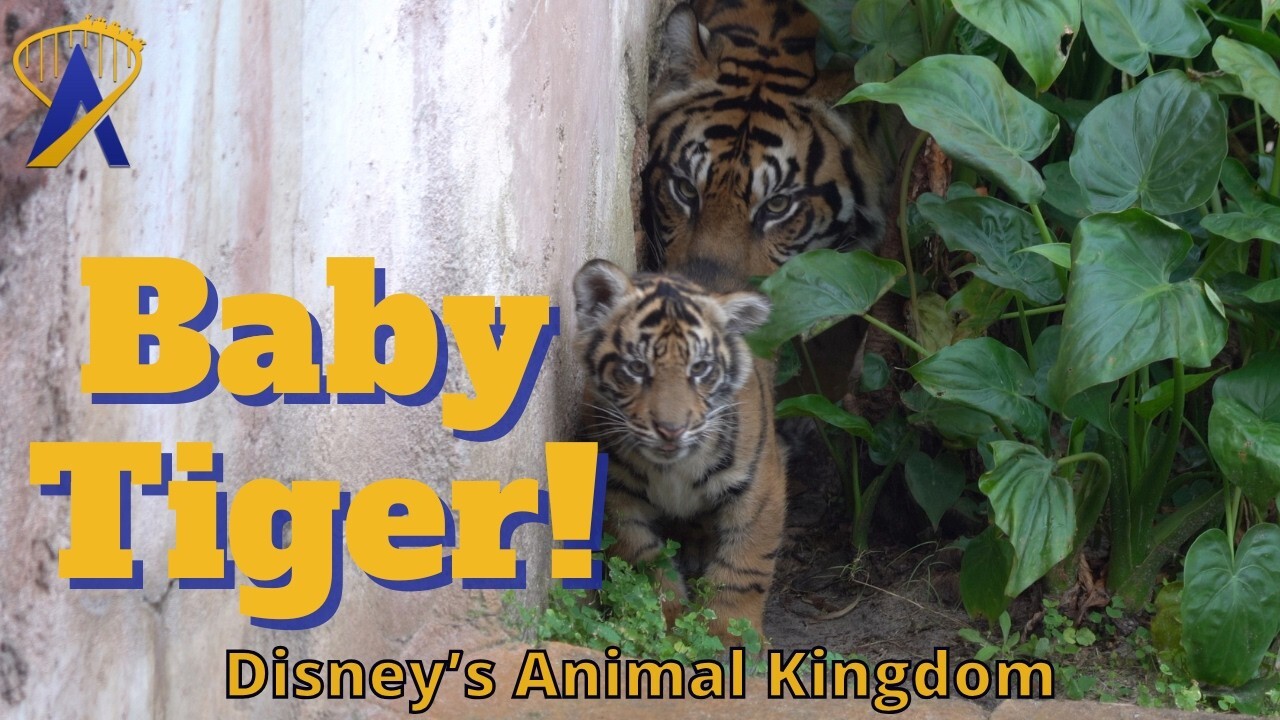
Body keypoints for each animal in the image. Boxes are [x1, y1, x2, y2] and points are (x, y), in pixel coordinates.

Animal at [572, 258, 786, 643]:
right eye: (637, 367)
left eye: (699, 368)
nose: (671, 430)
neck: (672, 468)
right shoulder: (616, 492)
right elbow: (644, 561)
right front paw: (667, 624)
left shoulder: (760, 488)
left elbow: (744, 566)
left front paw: (731, 636)